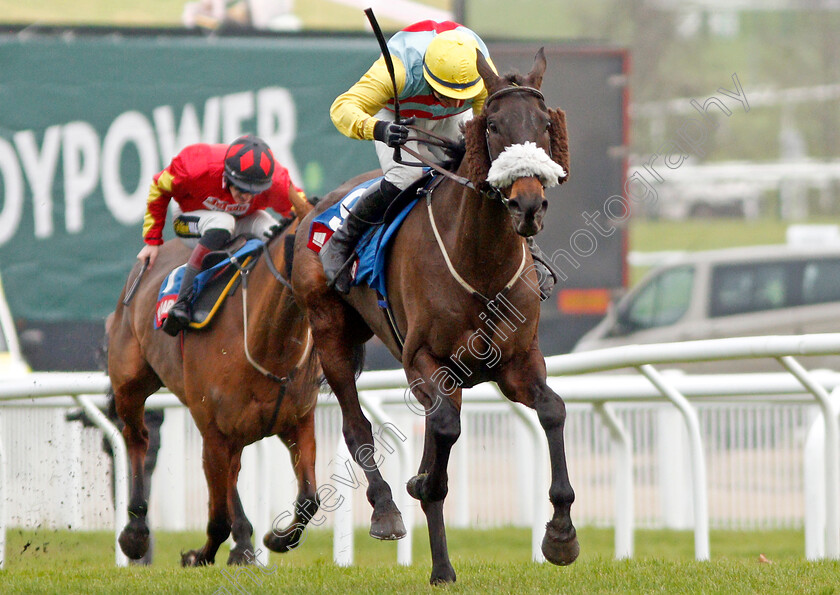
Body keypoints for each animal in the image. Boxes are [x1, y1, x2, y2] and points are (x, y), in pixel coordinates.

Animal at [107, 212, 322, 564]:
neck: (264, 341)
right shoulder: (212, 429)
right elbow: (218, 518)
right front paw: (198, 555)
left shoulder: (296, 420)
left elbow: (308, 498)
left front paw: (276, 538)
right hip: (130, 381)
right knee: (137, 437)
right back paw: (136, 532)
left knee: (231, 475)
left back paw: (244, 541)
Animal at [294, 49, 576, 584]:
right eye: (494, 125)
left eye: (545, 125)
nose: (528, 204)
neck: (480, 263)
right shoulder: (424, 360)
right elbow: (441, 438)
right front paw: (425, 508)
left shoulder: (518, 362)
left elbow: (552, 410)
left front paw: (561, 534)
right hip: (331, 332)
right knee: (355, 426)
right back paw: (388, 513)